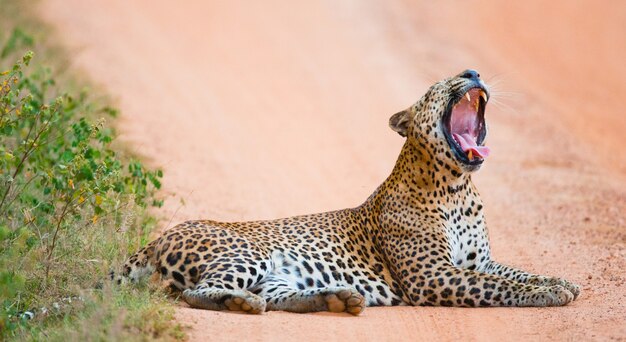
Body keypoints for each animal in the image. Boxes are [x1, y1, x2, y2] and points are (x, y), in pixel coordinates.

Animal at [113, 69, 580, 316]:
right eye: (436, 87)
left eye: (468, 73)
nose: (472, 72)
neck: (456, 189)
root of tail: (159, 237)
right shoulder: (432, 276)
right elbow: (498, 287)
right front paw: (547, 294)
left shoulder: (477, 261)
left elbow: (517, 272)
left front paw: (561, 281)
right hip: (247, 254)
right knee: (195, 293)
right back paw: (241, 304)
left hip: (278, 273)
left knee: (277, 297)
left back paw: (337, 298)